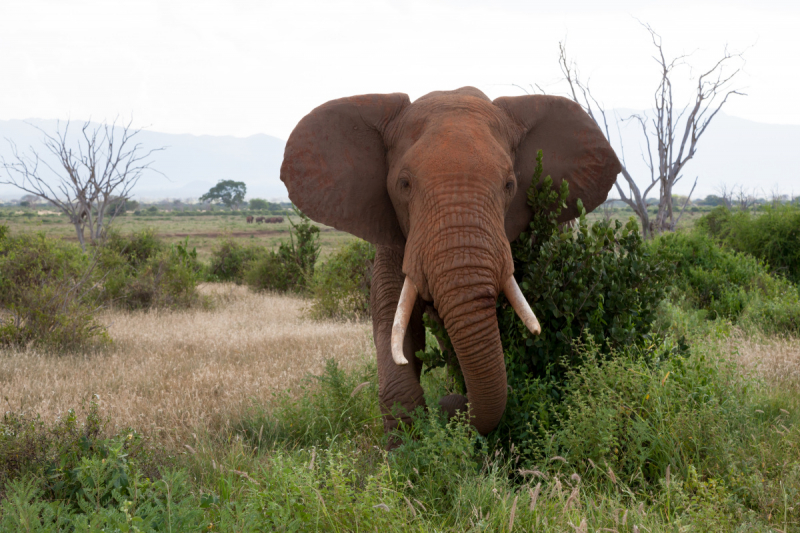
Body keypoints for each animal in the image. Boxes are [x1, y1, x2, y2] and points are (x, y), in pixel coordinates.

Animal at [280, 86, 620, 436]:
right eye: (404, 184)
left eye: (510, 185)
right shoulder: (396, 231)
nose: (450, 405)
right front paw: (406, 447)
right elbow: (390, 315)